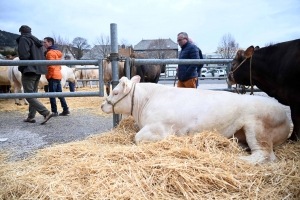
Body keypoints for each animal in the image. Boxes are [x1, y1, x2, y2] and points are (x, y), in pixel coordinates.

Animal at [101, 75, 290, 164]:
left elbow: (138, 137)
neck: (146, 102)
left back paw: (237, 159)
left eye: (115, 92)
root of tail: (283, 111)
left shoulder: (158, 127)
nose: (103, 105)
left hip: (258, 130)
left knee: (265, 155)